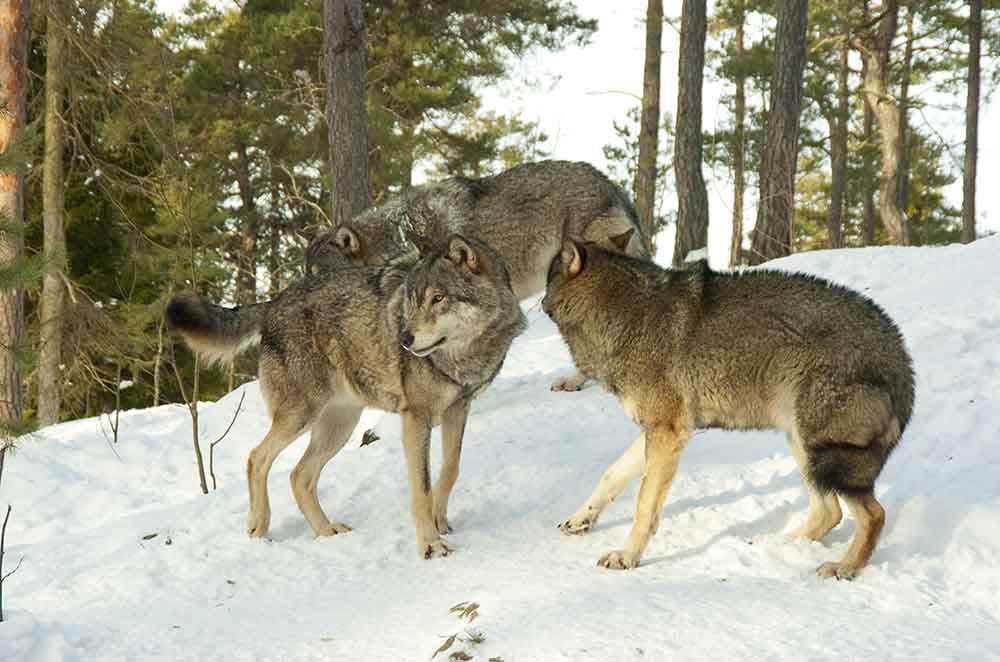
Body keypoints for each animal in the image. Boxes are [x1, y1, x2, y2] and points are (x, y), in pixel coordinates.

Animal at [168, 237, 528, 560]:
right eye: (412, 301)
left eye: (438, 298)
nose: (403, 338)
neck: (464, 356)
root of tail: (273, 301)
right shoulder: (416, 418)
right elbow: (421, 490)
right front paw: (430, 545)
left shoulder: (458, 409)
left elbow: (450, 470)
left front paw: (440, 522)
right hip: (302, 416)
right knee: (257, 458)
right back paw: (260, 525)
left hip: (338, 427)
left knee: (298, 475)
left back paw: (326, 531)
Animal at [548, 240, 916, 580]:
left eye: (548, 274)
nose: (538, 301)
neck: (624, 314)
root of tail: (902, 360)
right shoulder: (661, 431)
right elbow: (611, 475)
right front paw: (581, 519)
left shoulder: (666, 433)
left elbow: (644, 507)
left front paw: (627, 556)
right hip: (803, 446)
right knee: (830, 513)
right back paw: (779, 544)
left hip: (822, 453)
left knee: (873, 514)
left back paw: (845, 568)